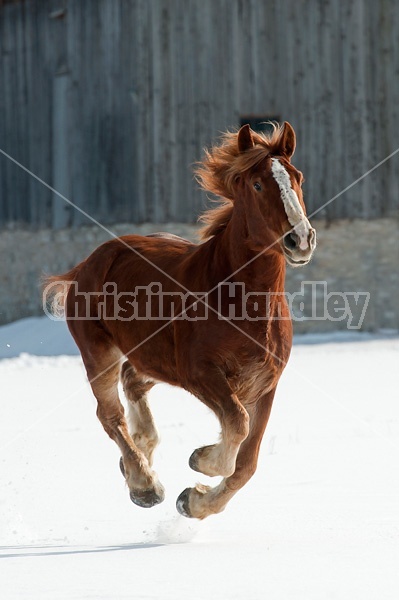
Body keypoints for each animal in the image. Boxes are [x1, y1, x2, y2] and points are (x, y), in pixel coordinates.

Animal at [45, 123, 318, 520]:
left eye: (297, 177)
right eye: (257, 184)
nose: (301, 239)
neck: (242, 300)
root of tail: (89, 262)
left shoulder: (266, 383)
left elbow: (247, 463)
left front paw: (194, 501)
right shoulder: (200, 373)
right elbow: (236, 427)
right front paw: (202, 461)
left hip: (152, 359)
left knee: (133, 384)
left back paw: (139, 455)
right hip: (99, 353)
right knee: (109, 413)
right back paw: (144, 484)